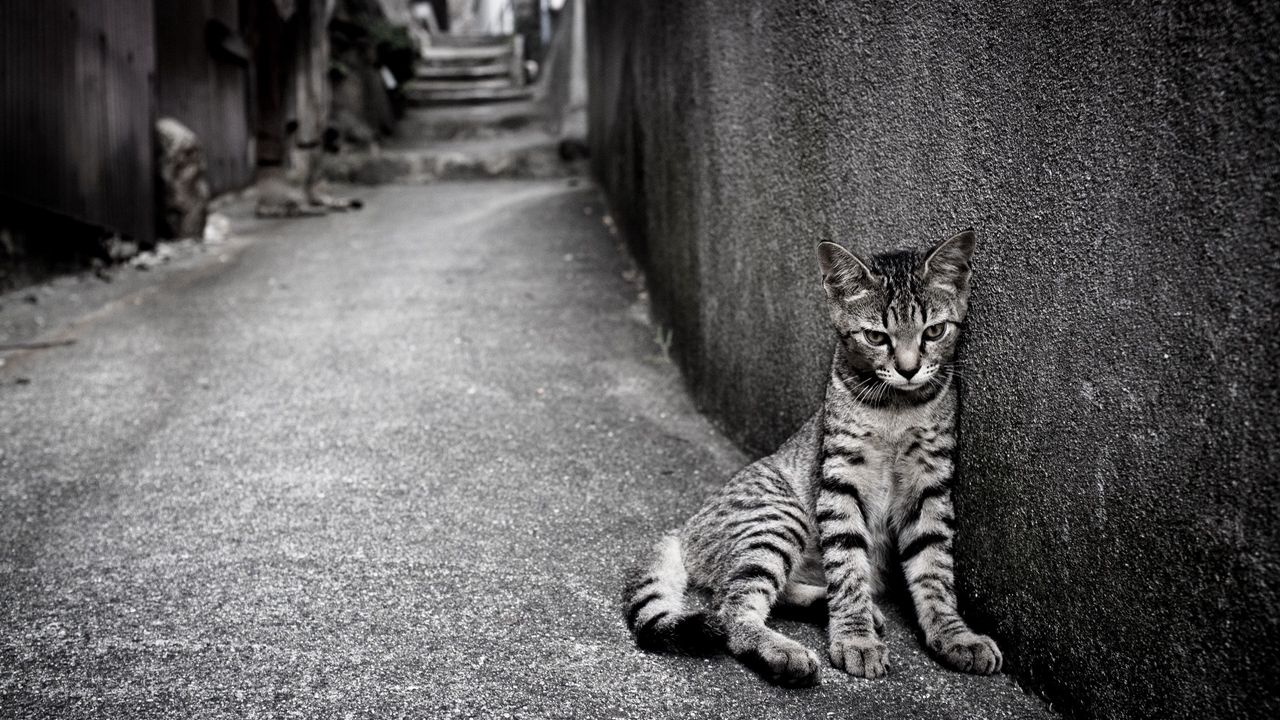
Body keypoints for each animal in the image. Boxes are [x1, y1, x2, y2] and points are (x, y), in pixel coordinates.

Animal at [622, 229, 998, 681]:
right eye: (876, 337)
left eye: (935, 331)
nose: (908, 369)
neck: (897, 409)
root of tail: (684, 529)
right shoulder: (841, 482)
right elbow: (848, 566)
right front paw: (854, 638)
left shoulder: (929, 487)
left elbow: (934, 571)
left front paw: (955, 635)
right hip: (777, 517)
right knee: (732, 610)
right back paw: (785, 648)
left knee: (774, 592)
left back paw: (836, 608)